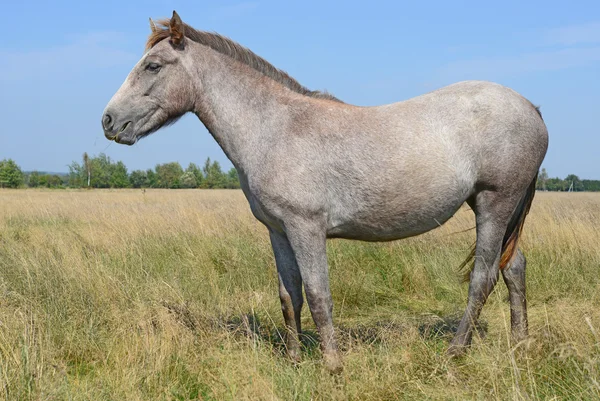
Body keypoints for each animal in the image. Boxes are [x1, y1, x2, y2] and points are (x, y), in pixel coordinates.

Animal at [102, 10, 548, 372]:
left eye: (153, 65)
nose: (108, 121)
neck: (275, 128)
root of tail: (531, 108)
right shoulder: (279, 231)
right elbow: (290, 295)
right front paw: (295, 360)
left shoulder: (307, 228)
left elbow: (318, 294)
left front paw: (332, 365)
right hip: (501, 212)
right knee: (514, 268)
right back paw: (520, 346)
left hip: (494, 204)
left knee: (483, 277)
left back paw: (456, 351)